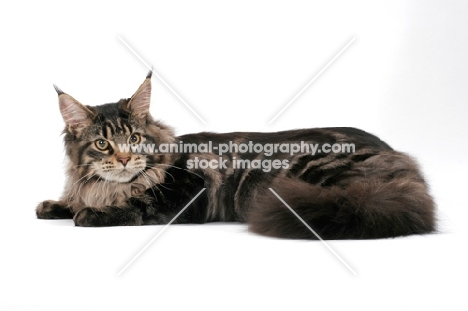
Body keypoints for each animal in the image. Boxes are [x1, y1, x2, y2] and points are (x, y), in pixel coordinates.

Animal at [35, 72, 436, 240]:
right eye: (103, 144)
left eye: (134, 139)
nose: (122, 159)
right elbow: (71, 199)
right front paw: (55, 205)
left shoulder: (184, 193)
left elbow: (134, 206)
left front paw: (90, 214)